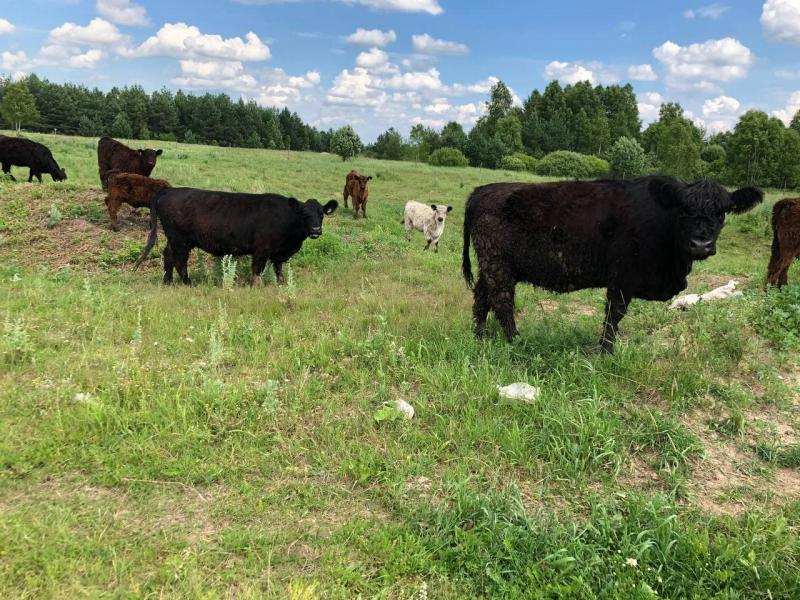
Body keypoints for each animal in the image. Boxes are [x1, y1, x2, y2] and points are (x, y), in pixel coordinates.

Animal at [134, 188, 338, 286]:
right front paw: (256, 287)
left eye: (321, 214)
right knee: (179, 261)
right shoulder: (261, 250)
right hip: (180, 240)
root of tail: (170, 190)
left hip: (175, 239)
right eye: (304, 214)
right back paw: (187, 283)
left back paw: (167, 282)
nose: (316, 229)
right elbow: (257, 271)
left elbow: (278, 269)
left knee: (167, 255)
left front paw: (282, 284)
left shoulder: (278, 253)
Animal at [462, 175, 764, 352]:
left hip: (490, 267)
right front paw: (606, 351)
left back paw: (479, 336)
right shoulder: (623, 277)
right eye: (684, 209)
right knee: (501, 302)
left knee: (481, 298)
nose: (700, 244)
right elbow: (614, 314)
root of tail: (483, 190)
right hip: (499, 266)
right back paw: (516, 341)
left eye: (722, 212)